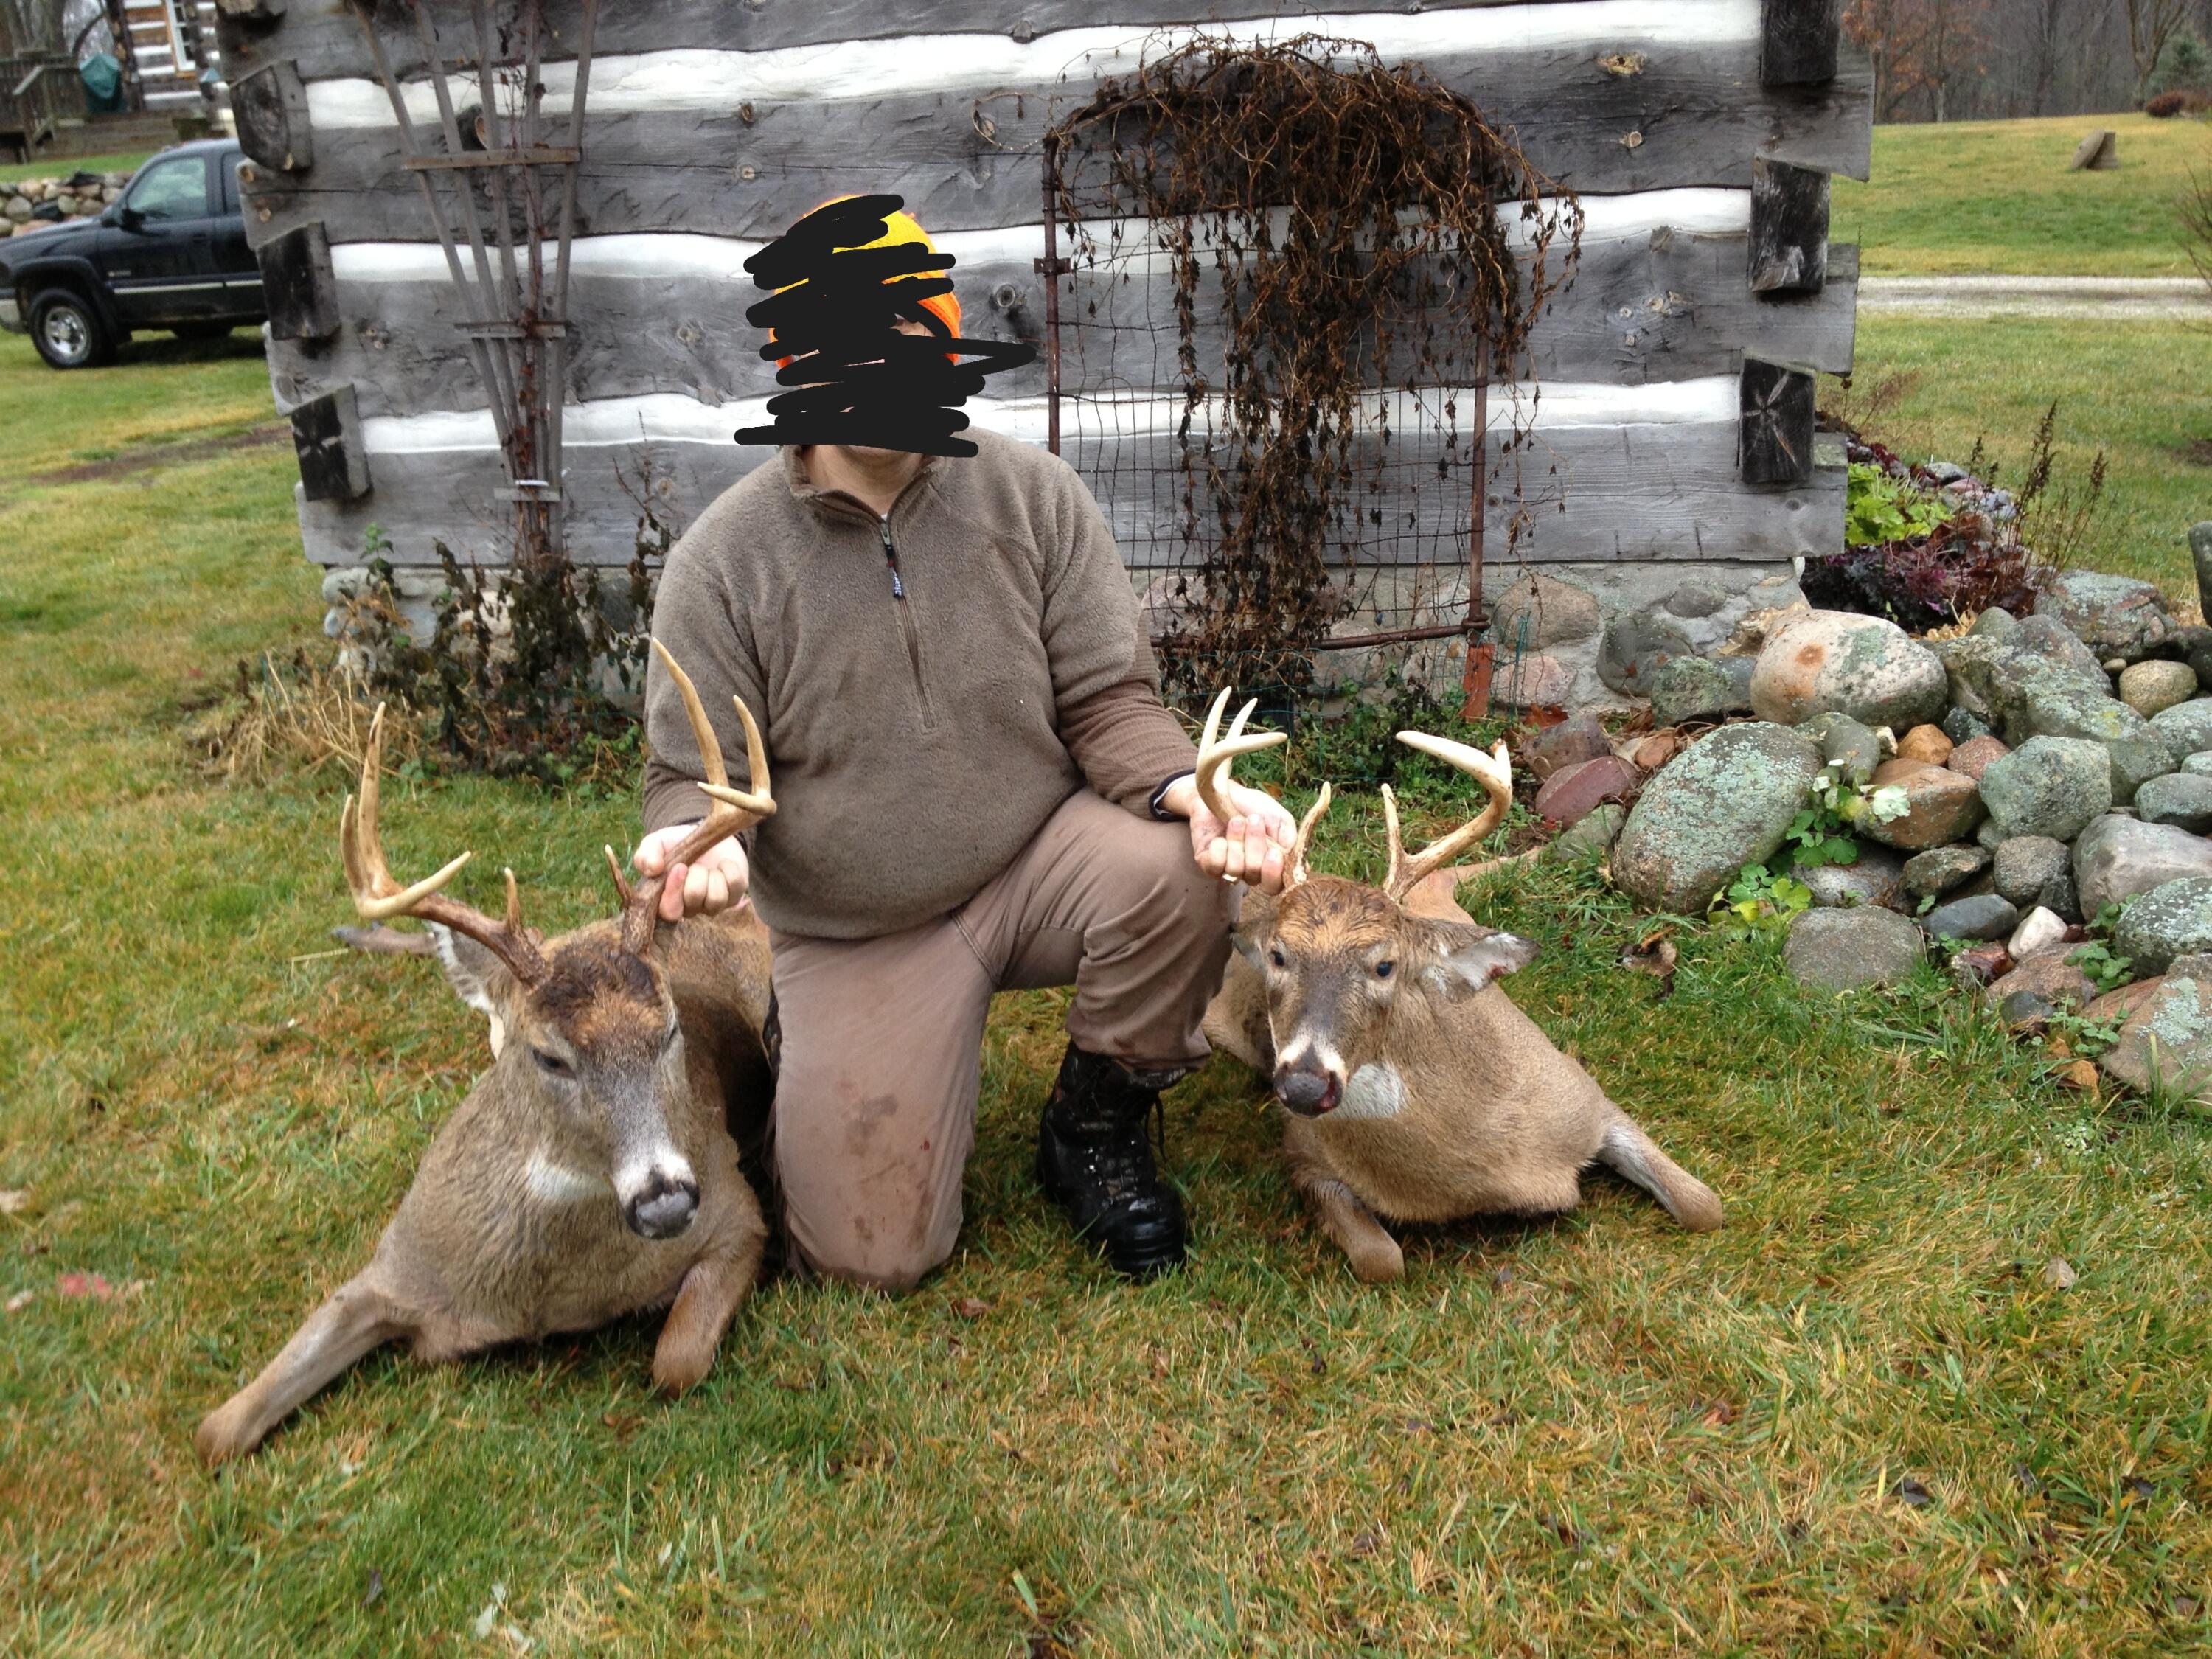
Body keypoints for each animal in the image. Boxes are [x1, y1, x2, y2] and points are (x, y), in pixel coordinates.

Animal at [196, 643, 778, 1465]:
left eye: (669, 1032)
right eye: (549, 1057)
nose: (666, 1199)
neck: (550, 1293)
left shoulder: (736, 1213)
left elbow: (676, 1362)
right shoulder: (392, 1263)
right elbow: (218, 1432)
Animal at [1192, 691, 1723, 1283]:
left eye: (1386, 966)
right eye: (1279, 956)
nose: (1305, 1086)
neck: (1481, 1168)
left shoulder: (1585, 1093)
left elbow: (1706, 1207)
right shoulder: (1304, 1155)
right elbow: (1383, 1260)